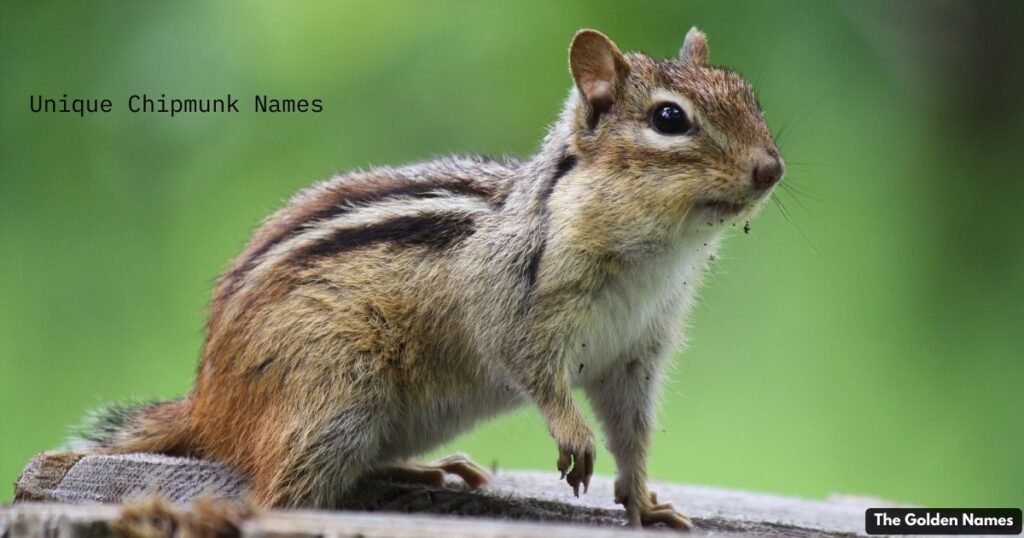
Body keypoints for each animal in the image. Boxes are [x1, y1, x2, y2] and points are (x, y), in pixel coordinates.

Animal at [68, 27, 783, 530]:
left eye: (750, 98)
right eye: (670, 119)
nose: (771, 169)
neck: (656, 257)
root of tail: (207, 403)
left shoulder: (637, 353)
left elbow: (632, 433)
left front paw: (644, 501)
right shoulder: (513, 306)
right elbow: (530, 368)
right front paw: (574, 436)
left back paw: (426, 471)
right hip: (335, 399)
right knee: (276, 496)